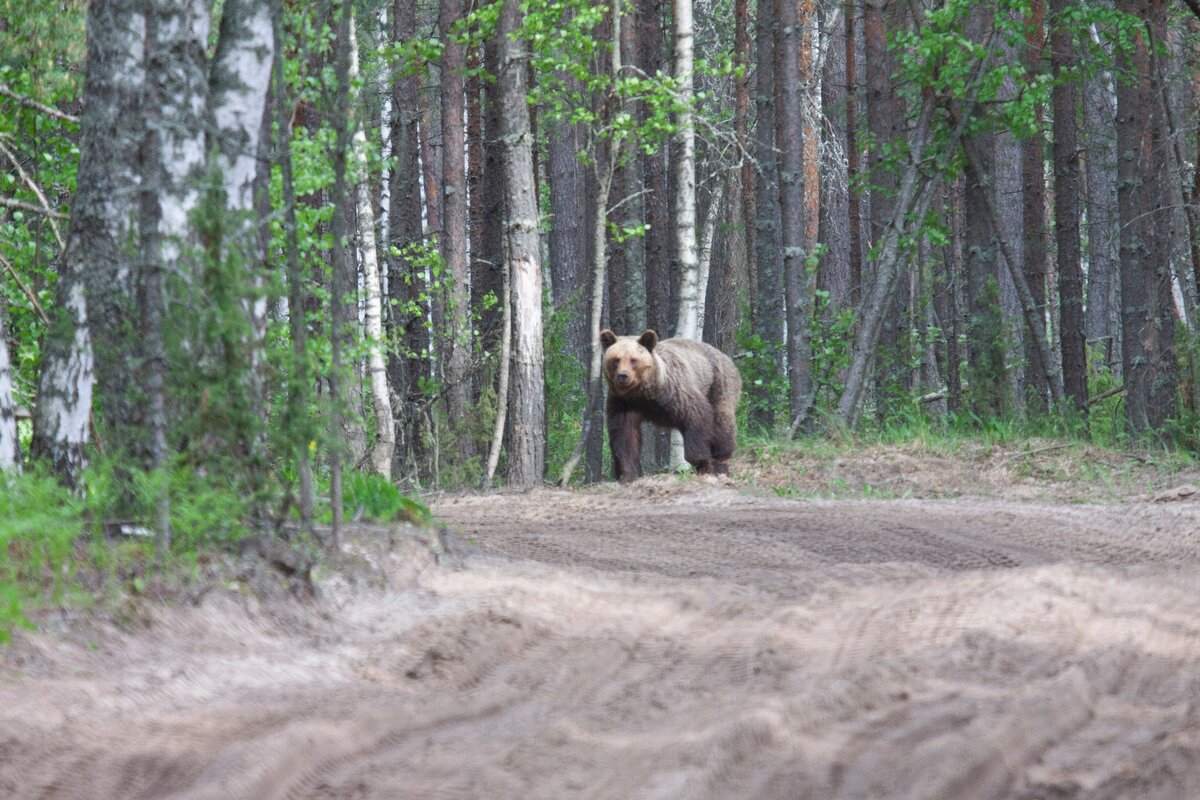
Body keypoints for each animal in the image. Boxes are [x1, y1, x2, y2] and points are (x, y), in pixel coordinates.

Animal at [600, 331, 739, 482]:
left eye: (633, 360)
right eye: (616, 359)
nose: (623, 376)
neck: (645, 393)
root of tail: (724, 355)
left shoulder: (674, 393)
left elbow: (696, 416)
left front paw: (702, 462)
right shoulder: (623, 404)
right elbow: (624, 436)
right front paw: (626, 474)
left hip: (718, 383)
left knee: (721, 420)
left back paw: (721, 460)